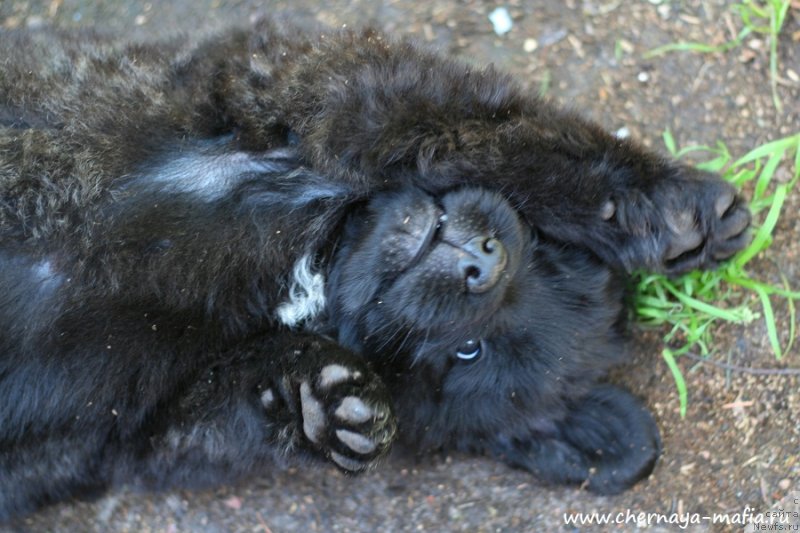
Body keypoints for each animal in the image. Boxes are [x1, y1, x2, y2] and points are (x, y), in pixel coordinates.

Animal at [0, 17, 752, 520]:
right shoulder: (326, 85)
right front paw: (667, 206)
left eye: (468, 351)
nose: (484, 261)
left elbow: (229, 409)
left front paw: (329, 404)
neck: (314, 257)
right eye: (543, 253)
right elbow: (495, 133)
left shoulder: (131, 436)